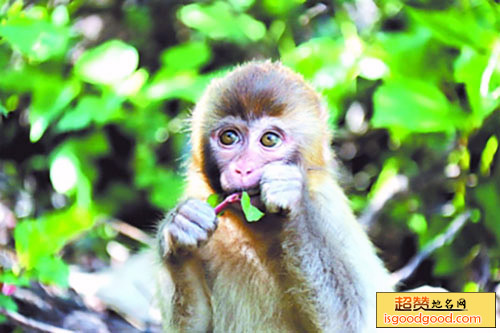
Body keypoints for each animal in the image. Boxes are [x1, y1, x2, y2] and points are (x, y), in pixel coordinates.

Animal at [155, 61, 390, 330]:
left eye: (269, 139)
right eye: (229, 137)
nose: (243, 168)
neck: (259, 225)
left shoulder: (328, 207)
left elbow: (355, 319)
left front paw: (293, 199)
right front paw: (181, 230)